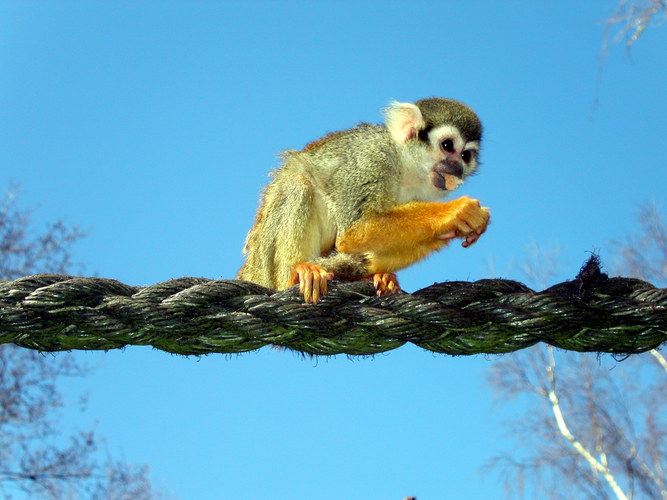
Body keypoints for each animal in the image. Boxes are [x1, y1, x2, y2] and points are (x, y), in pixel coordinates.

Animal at [237, 95, 488, 302]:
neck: (404, 168)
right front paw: (457, 211)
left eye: (466, 156)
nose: (457, 168)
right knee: (297, 185)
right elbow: (354, 232)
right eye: (447, 146)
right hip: (263, 265)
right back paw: (296, 276)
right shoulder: (372, 160)